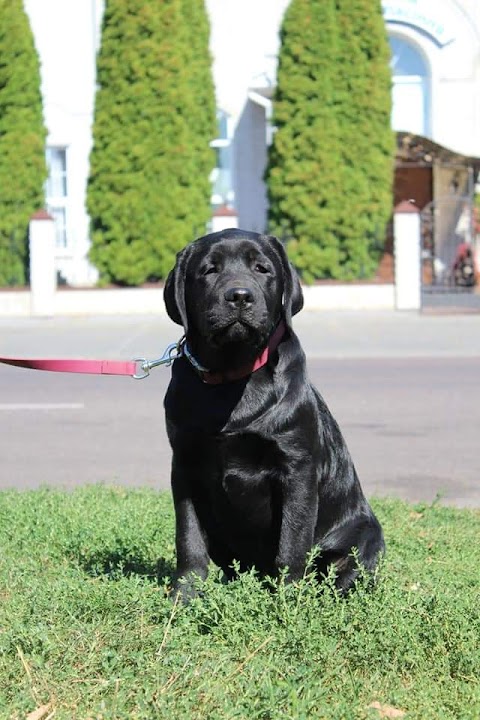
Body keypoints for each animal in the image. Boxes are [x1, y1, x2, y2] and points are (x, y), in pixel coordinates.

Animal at [163, 229, 384, 596]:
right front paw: (185, 595)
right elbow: (188, 537)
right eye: (209, 269)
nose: (239, 296)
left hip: (366, 535)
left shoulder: (297, 468)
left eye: (262, 268)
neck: (232, 376)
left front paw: (288, 599)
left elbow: (292, 542)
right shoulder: (184, 465)